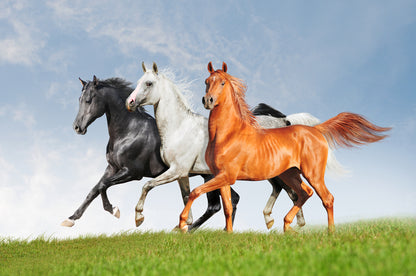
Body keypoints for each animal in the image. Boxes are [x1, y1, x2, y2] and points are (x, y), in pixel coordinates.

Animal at [126, 62, 342, 229]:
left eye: (148, 83)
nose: (130, 102)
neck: (179, 127)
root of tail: (285, 122)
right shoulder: (182, 174)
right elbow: (186, 197)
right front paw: (182, 227)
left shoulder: (177, 171)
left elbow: (147, 185)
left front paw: (139, 218)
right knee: (290, 191)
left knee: (293, 192)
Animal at [178, 61, 390, 232]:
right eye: (206, 81)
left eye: (222, 82)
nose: (208, 100)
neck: (229, 134)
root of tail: (315, 129)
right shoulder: (221, 177)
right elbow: (228, 208)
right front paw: (227, 235)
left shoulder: (226, 176)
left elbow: (196, 192)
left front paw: (181, 224)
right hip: (290, 174)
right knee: (303, 193)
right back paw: (287, 226)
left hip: (312, 174)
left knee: (326, 198)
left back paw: (329, 233)